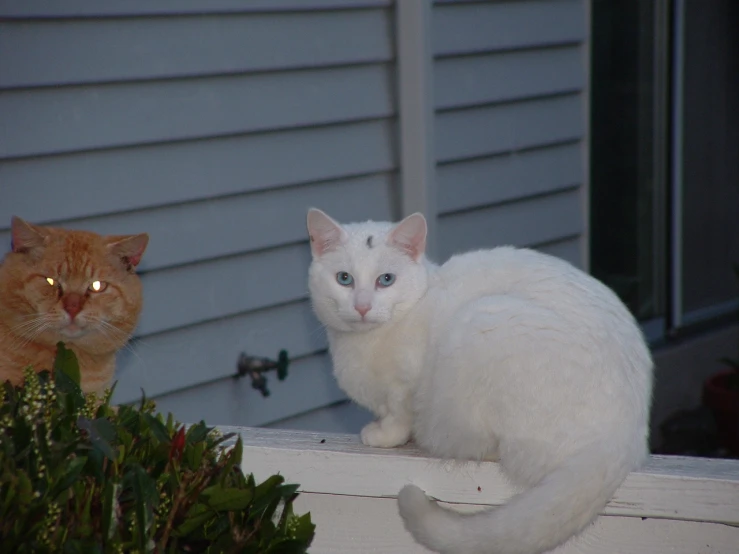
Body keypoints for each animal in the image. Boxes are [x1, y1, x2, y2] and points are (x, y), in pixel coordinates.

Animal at [306, 208, 652, 552]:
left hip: (482, 319)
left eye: (386, 280)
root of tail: (623, 441)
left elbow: (399, 414)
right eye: (344, 279)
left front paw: (383, 434)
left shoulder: (406, 387)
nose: (362, 306)